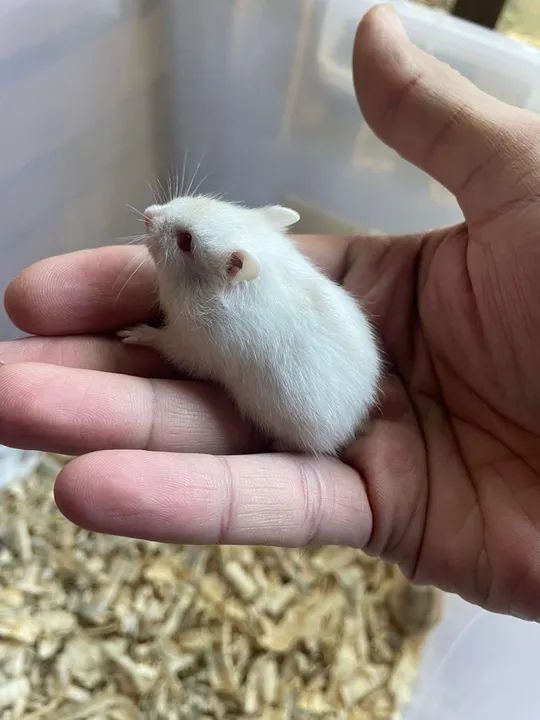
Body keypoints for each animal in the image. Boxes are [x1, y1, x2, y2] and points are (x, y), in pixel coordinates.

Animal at [118, 196, 381, 454]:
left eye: (186, 241)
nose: (148, 213)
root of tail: (355, 422)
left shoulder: (192, 345)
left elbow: (163, 341)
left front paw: (132, 333)